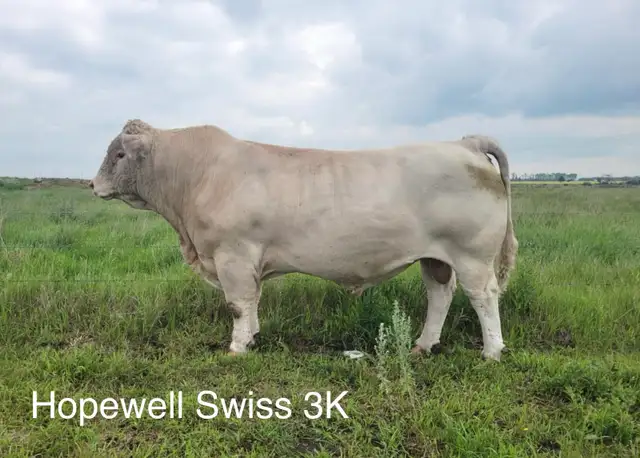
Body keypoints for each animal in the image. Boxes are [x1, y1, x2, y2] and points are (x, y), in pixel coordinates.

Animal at [89, 119, 518, 361]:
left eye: (120, 154)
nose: (92, 185)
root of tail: (463, 143)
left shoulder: (233, 256)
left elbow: (237, 305)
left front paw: (236, 348)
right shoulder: (247, 261)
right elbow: (253, 301)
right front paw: (254, 337)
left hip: (472, 256)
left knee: (482, 297)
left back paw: (492, 352)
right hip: (437, 257)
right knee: (439, 294)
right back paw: (423, 345)